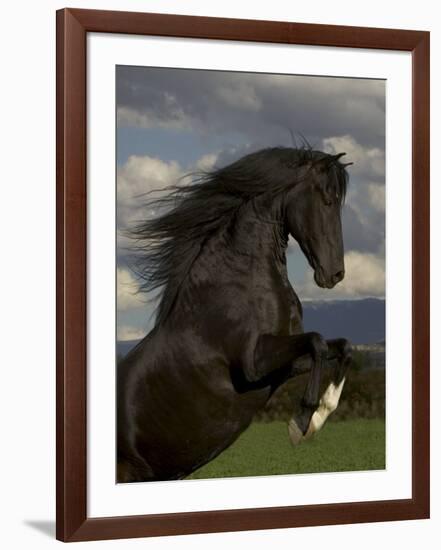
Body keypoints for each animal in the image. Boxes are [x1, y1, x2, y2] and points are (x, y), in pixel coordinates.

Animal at [116, 146, 350, 484]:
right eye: (327, 200)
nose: (335, 274)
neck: (240, 282)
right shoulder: (253, 364)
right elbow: (318, 342)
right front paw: (301, 424)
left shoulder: (283, 365)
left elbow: (341, 347)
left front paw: (318, 417)